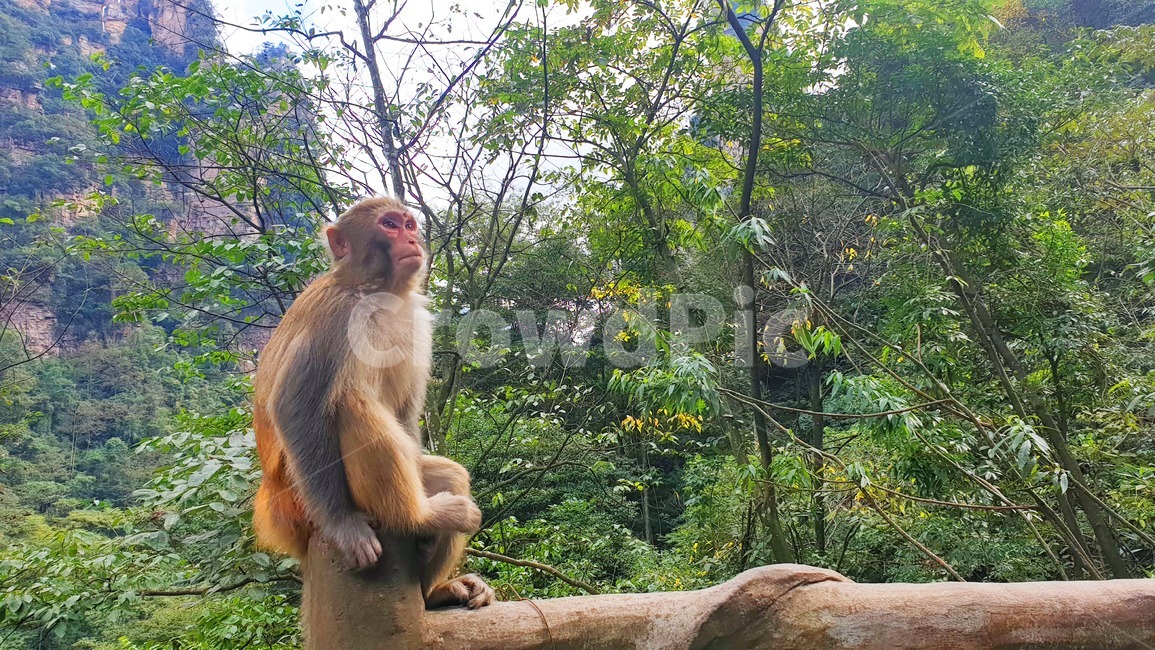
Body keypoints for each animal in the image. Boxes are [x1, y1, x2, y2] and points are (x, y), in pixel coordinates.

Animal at [251, 196, 495, 609]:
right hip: (298, 504)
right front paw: (343, 524)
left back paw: (433, 590)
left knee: (450, 477)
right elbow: (295, 407)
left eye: (409, 225)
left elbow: (406, 412)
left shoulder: (416, 323)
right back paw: (417, 518)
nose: (411, 240)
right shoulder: (336, 315)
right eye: (389, 225)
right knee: (350, 404)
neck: (379, 293)